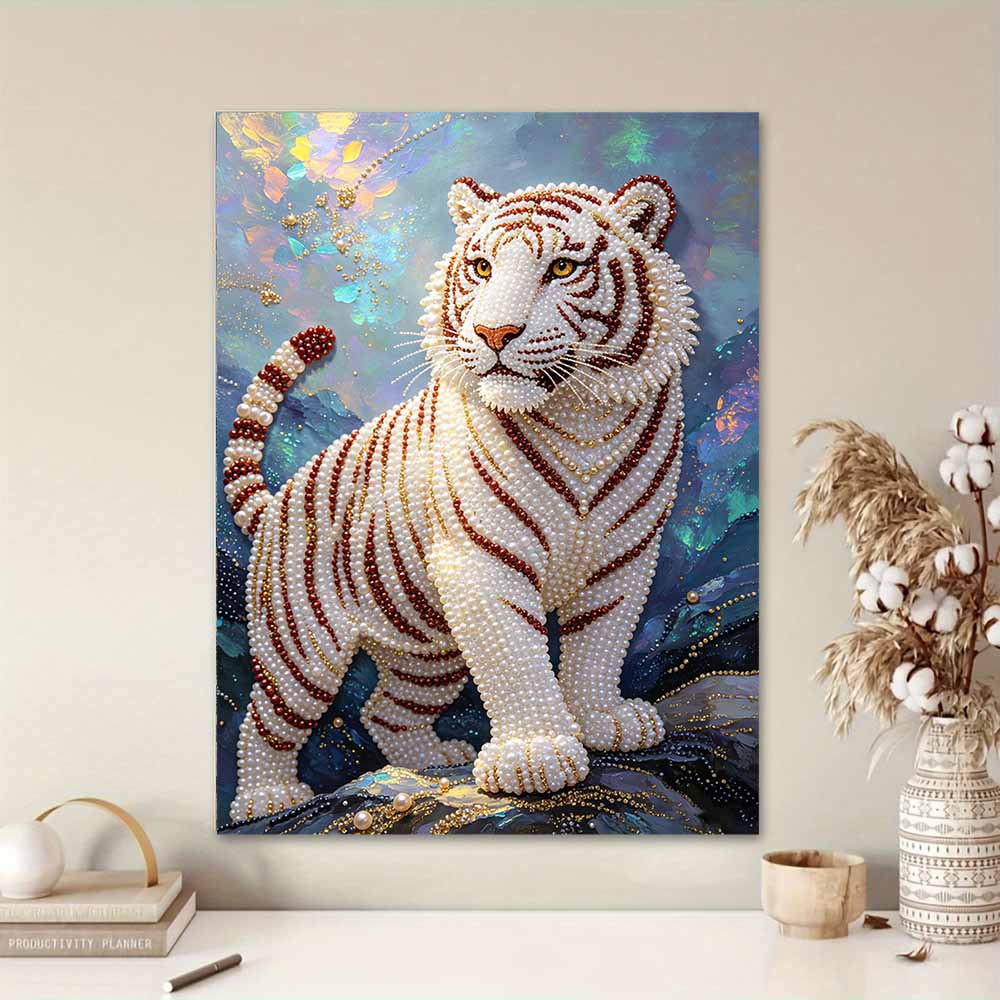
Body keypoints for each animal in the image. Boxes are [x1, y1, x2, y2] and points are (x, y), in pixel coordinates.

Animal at [223, 175, 698, 822]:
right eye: (481, 267)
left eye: (563, 267)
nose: (494, 334)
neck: (582, 419)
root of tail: (276, 502)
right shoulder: (481, 560)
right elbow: (515, 658)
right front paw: (536, 757)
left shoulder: (623, 555)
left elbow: (600, 641)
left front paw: (604, 720)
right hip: (301, 644)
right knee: (266, 720)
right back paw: (265, 800)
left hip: (427, 649)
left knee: (384, 710)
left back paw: (432, 761)